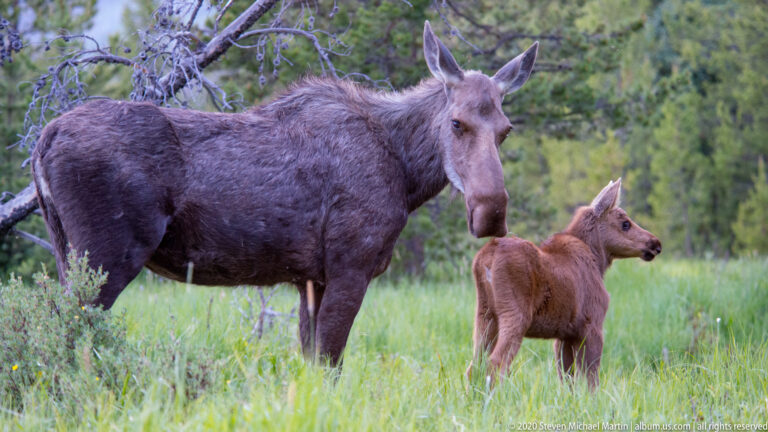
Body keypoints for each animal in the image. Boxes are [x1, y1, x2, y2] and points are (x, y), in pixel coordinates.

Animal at [31, 21, 539, 366]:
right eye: (456, 123)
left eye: (506, 129)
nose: (490, 212)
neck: (406, 171)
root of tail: (44, 138)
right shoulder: (350, 268)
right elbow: (329, 363)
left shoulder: (309, 278)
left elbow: (310, 363)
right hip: (107, 255)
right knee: (63, 331)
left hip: (66, 249)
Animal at [467, 179, 661, 388]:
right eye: (625, 223)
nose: (656, 243)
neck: (598, 260)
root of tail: (485, 259)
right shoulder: (592, 325)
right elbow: (591, 380)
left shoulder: (564, 334)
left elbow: (568, 379)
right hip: (515, 314)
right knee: (496, 363)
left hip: (485, 315)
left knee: (474, 365)